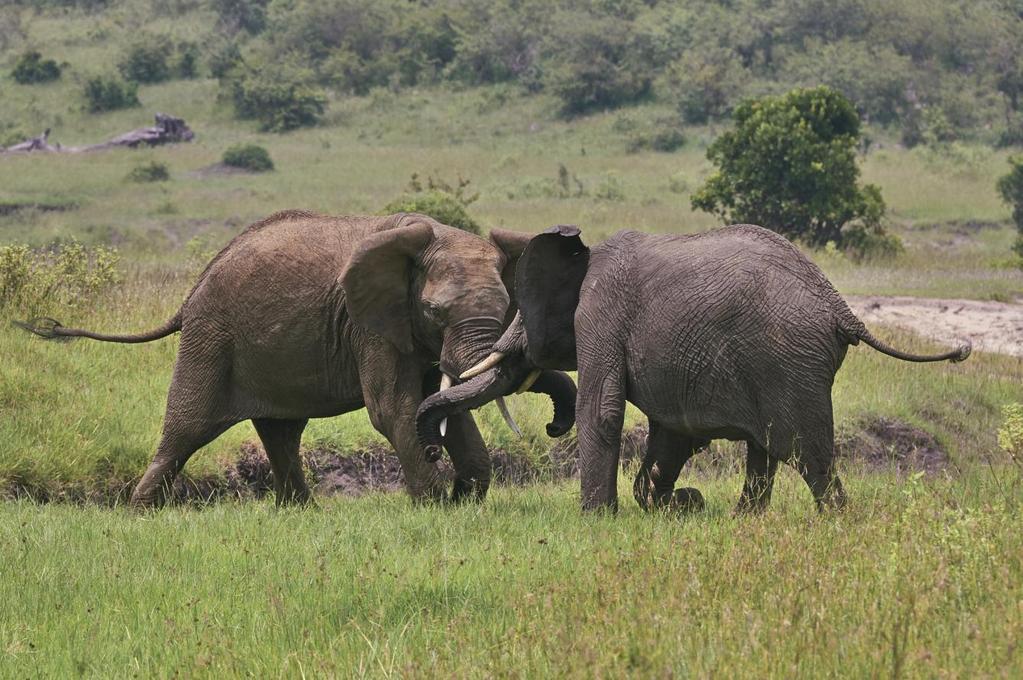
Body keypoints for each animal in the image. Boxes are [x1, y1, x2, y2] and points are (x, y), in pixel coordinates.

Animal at [18, 209, 576, 507]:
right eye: (434, 310)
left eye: (506, 307)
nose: (553, 428)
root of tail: (193, 289)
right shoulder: (369, 324)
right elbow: (395, 409)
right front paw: (438, 505)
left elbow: (444, 402)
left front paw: (464, 499)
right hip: (209, 338)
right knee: (184, 431)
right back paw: (139, 514)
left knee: (282, 432)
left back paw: (300, 513)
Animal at [417, 224, 973, 511]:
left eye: (520, 316)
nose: (431, 453)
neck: (583, 254)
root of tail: (839, 305)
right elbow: (672, 431)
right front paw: (669, 504)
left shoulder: (600, 316)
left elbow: (602, 413)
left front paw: (596, 519)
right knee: (766, 450)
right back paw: (746, 519)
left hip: (791, 362)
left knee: (804, 452)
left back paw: (834, 522)